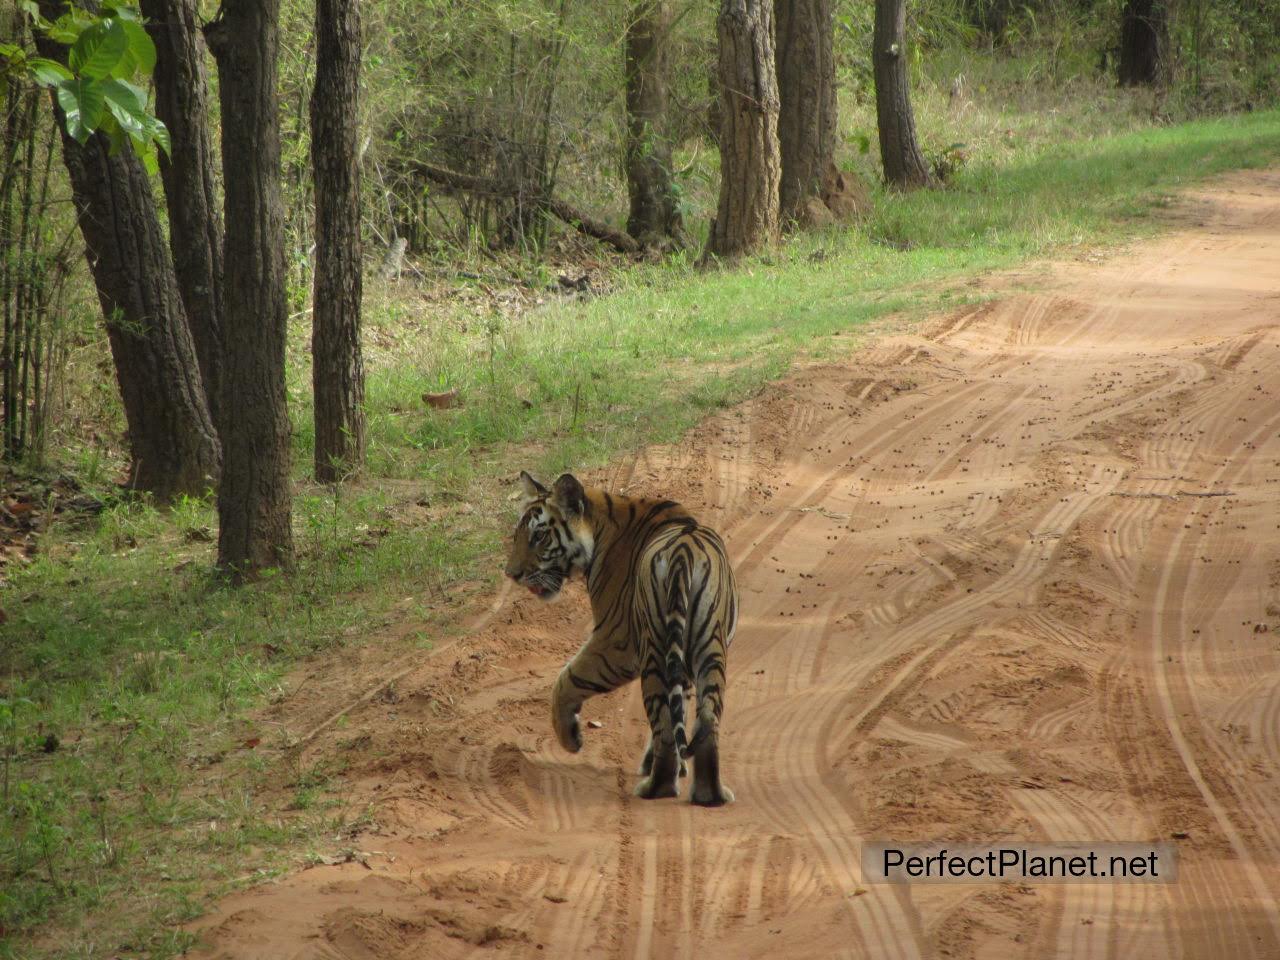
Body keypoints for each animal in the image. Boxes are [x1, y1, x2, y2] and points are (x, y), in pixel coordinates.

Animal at [501, 471, 742, 803]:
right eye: (517, 536)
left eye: (539, 537)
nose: (511, 574)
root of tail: (683, 553)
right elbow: (682, 705)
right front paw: (673, 765)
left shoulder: (615, 641)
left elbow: (565, 681)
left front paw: (570, 738)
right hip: (710, 649)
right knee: (707, 722)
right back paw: (710, 795)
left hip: (654, 651)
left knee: (664, 726)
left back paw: (655, 788)